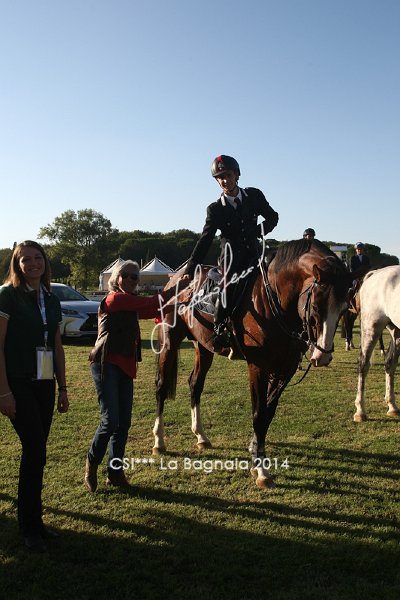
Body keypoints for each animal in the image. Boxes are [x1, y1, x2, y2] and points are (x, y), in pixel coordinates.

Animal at [153, 239, 351, 489]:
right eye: (315, 307)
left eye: (343, 309)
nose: (322, 356)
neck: (274, 299)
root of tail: (175, 281)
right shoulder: (259, 367)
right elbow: (258, 414)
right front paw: (262, 470)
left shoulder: (285, 369)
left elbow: (268, 414)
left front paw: (256, 451)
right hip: (169, 342)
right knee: (161, 387)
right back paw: (159, 441)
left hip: (203, 347)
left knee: (195, 385)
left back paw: (201, 436)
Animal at [354, 265, 400, 422]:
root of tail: (375, 273)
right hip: (372, 327)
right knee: (363, 364)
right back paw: (360, 411)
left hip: (396, 331)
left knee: (390, 363)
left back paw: (392, 406)